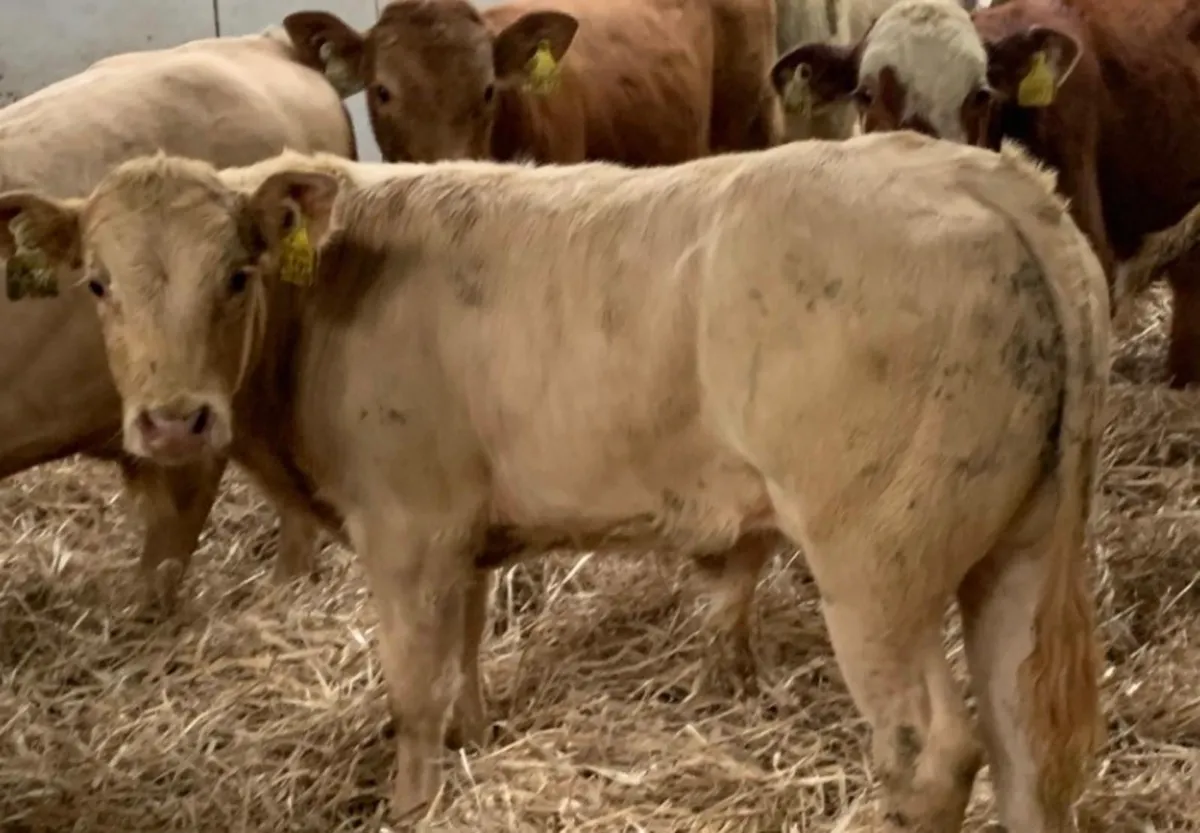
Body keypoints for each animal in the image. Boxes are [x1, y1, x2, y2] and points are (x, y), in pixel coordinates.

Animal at [0, 128, 1110, 831]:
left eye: (237, 274)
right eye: (97, 283)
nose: (173, 419)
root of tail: (979, 173)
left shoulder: (407, 525)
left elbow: (411, 681)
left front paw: (412, 801)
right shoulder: (465, 526)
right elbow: (466, 645)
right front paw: (475, 736)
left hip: (877, 566)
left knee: (934, 753)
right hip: (1016, 550)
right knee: (1027, 751)